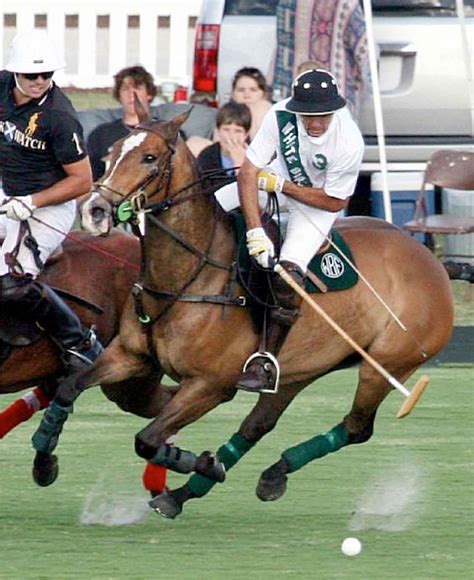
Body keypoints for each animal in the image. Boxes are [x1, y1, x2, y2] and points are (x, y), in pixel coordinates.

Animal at [31, 111, 454, 520]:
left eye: (149, 157)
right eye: (111, 153)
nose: (94, 210)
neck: (189, 274)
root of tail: (432, 262)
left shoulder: (211, 384)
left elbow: (147, 439)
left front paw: (204, 463)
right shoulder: (129, 355)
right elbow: (70, 387)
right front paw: (43, 460)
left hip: (386, 365)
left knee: (356, 427)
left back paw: (255, 475)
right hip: (298, 371)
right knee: (258, 425)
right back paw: (211, 489)